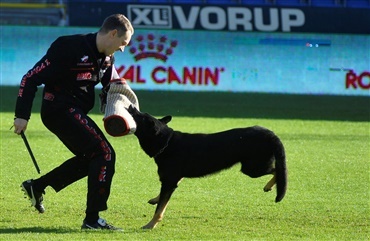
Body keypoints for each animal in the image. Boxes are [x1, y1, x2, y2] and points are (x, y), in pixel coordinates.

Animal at [126, 106, 286, 230]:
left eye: (140, 116)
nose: (131, 107)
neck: (166, 142)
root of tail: (271, 134)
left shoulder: (169, 182)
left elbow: (159, 209)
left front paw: (150, 225)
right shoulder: (171, 180)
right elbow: (163, 197)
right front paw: (155, 199)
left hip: (252, 168)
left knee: (278, 170)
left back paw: (270, 186)